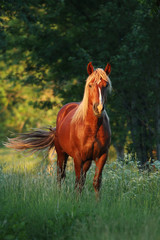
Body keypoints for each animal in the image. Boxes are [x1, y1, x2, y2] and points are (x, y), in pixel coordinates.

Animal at [5, 62, 112, 197]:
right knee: (60, 175)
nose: (98, 108)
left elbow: (96, 182)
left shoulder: (102, 156)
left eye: (106, 85)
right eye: (90, 84)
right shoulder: (77, 157)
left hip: (86, 160)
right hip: (61, 153)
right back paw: (59, 195)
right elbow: (77, 181)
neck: (92, 129)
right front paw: (77, 200)